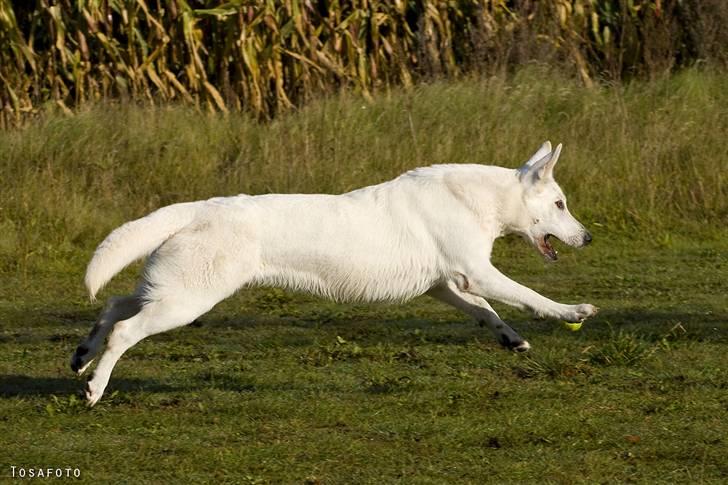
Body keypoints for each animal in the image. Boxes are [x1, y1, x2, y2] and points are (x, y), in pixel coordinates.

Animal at [72, 141, 596, 404]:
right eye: (560, 205)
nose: (588, 238)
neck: (482, 201)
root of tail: (200, 206)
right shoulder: (476, 273)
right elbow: (529, 296)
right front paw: (574, 311)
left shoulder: (447, 286)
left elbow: (487, 312)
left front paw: (512, 340)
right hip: (186, 302)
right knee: (124, 329)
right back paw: (95, 387)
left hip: (175, 291)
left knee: (113, 304)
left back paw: (81, 355)